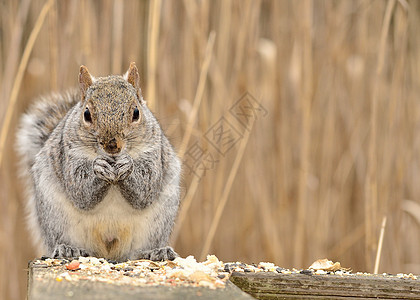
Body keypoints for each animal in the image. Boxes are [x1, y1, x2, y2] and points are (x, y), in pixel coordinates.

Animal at [16, 62, 180, 260]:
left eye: (136, 112)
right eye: (86, 114)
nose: (112, 145)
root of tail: (108, 252)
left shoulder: (154, 155)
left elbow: (146, 189)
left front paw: (128, 166)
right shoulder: (69, 157)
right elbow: (80, 192)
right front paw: (98, 168)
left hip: (156, 226)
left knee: (136, 253)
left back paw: (154, 252)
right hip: (56, 219)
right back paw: (69, 249)